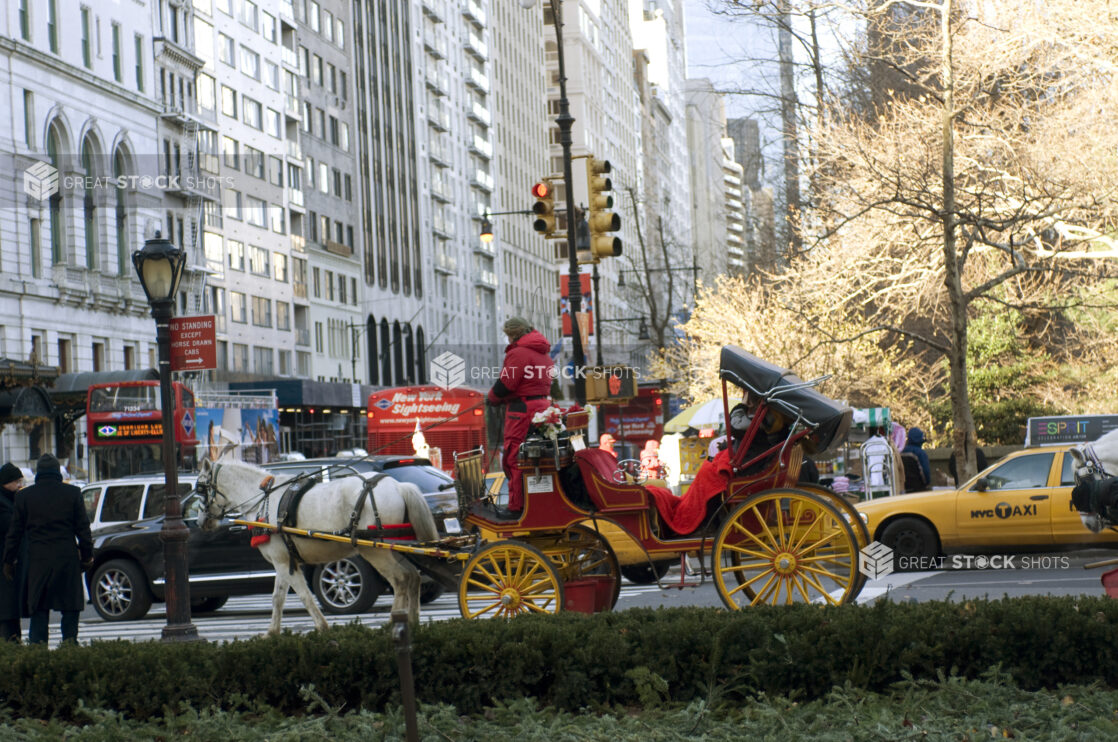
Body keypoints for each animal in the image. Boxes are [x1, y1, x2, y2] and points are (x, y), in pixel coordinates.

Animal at [194, 455, 438, 634]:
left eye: (200, 489)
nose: (200, 522)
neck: (263, 500)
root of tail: (398, 486)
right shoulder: (283, 562)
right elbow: (277, 598)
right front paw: (272, 633)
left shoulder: (284, 562)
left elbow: (303, 595)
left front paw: (322, 627)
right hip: (395, 547)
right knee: (413, 576)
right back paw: (413, 622)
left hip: (375, 551)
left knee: (401, 579)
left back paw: (394, 622)